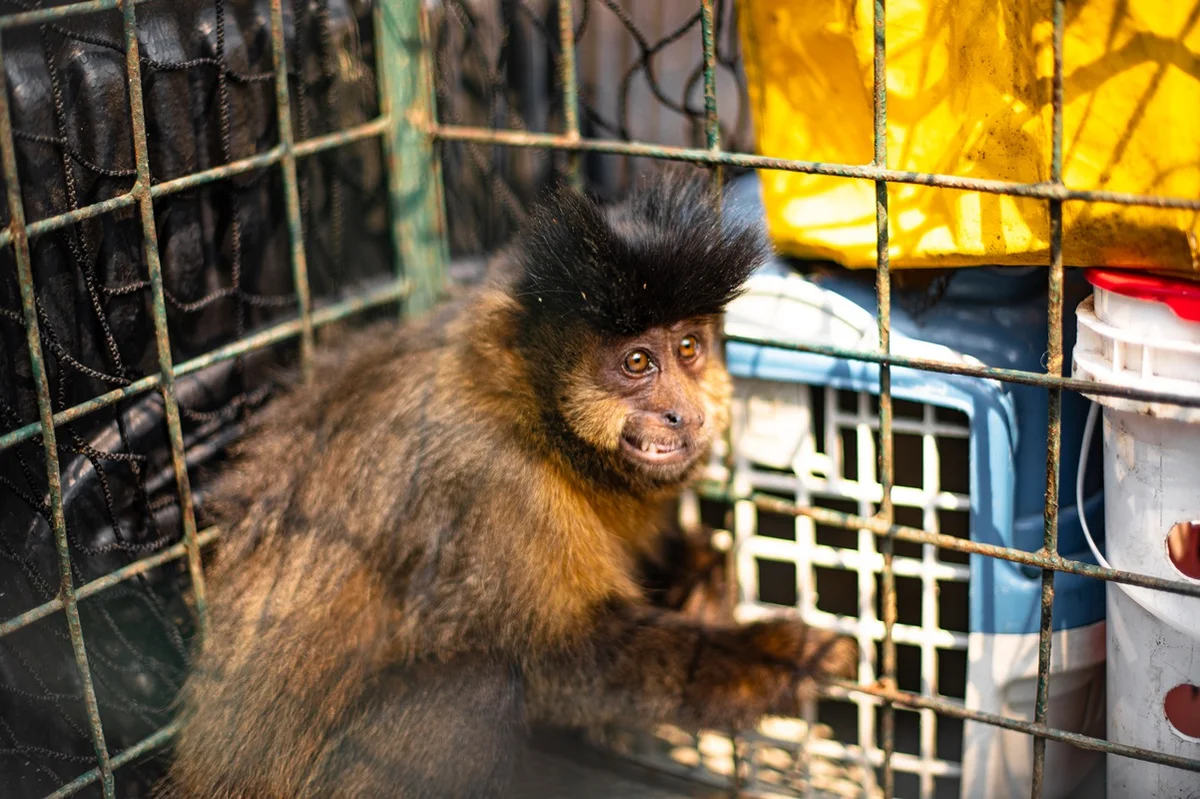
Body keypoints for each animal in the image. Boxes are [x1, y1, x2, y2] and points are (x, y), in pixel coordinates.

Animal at [161, 168, 858, 799]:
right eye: (638, 361)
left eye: (688, 349)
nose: (685, 415)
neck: (531, 409)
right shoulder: (495, 482)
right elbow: (562, 664)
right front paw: (775, 656)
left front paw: (700, 576)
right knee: (477, 689)